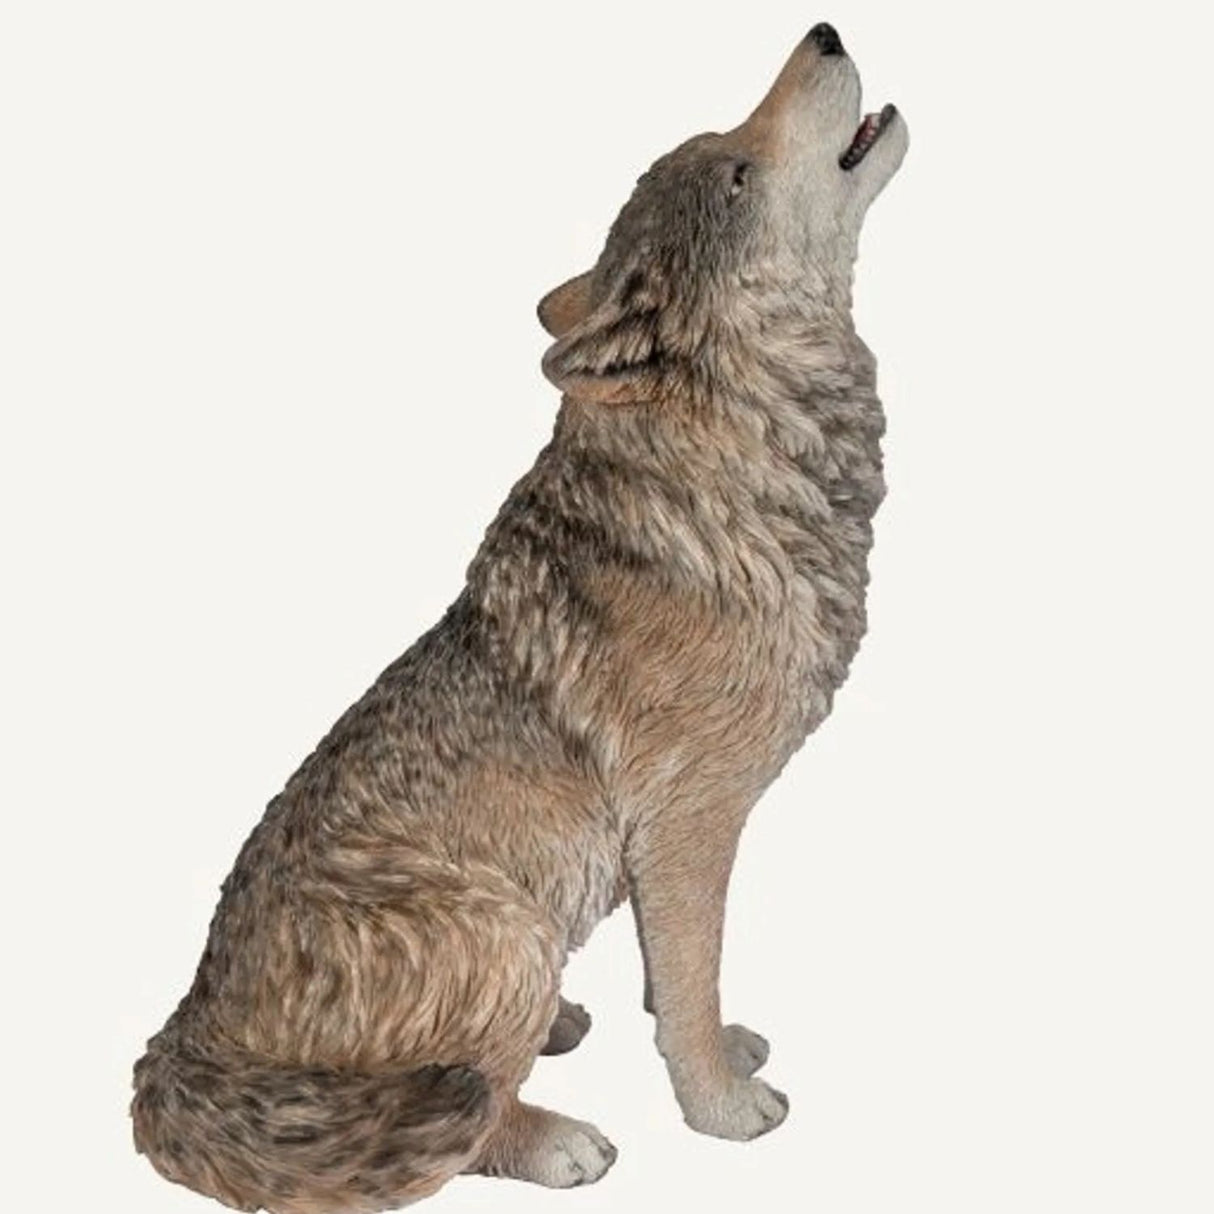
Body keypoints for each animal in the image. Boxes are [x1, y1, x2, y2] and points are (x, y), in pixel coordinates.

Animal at [132, 22, 907, 1213]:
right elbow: (689, 985)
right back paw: (555, 1138)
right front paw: (722, 1108)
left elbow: (673, 978)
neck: (738, 459)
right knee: (463, 1120)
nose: (823, 32)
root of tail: (180, 1042)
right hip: (510, 926)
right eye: (734, 170)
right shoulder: (689, 823)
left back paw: (557, 1028)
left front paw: (719, 1049)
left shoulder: (656, 850)